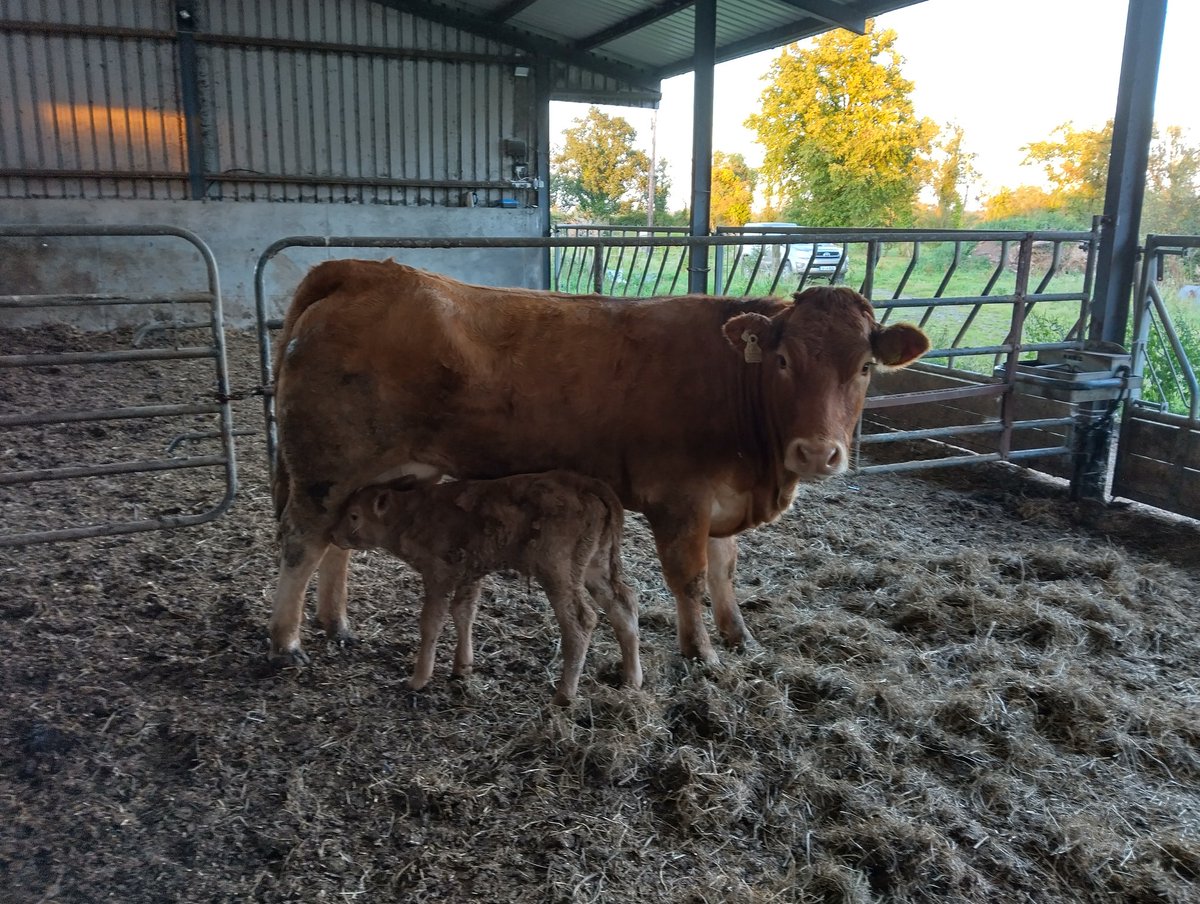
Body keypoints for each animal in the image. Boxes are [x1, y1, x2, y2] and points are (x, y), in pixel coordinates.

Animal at [268, 260, 929, 667]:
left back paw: (337, 624)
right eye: (784, 361)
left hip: (369, 473)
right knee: (302, 542)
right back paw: (288, 640)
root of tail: (367, 270)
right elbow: (689, 578)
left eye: (865, 368)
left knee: (339, 541)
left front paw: (740, 636)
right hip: (325, 467)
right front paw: (702, 654)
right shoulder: (679, 501)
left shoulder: (722, 502)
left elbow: (725, 572)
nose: (817, 452)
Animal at [329, 470, 641, 705]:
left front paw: (418, 679)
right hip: (596, 567)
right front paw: (462, 668)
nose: (333, 535)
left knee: (581, 620)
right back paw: (631, 680)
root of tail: (590, 485)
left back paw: (563, 696)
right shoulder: (470, 574)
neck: (412, 514)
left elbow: (431, 622)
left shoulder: (438, 576)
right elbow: (464, 612)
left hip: (559, 574)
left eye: (354, 515)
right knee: (623, 605)